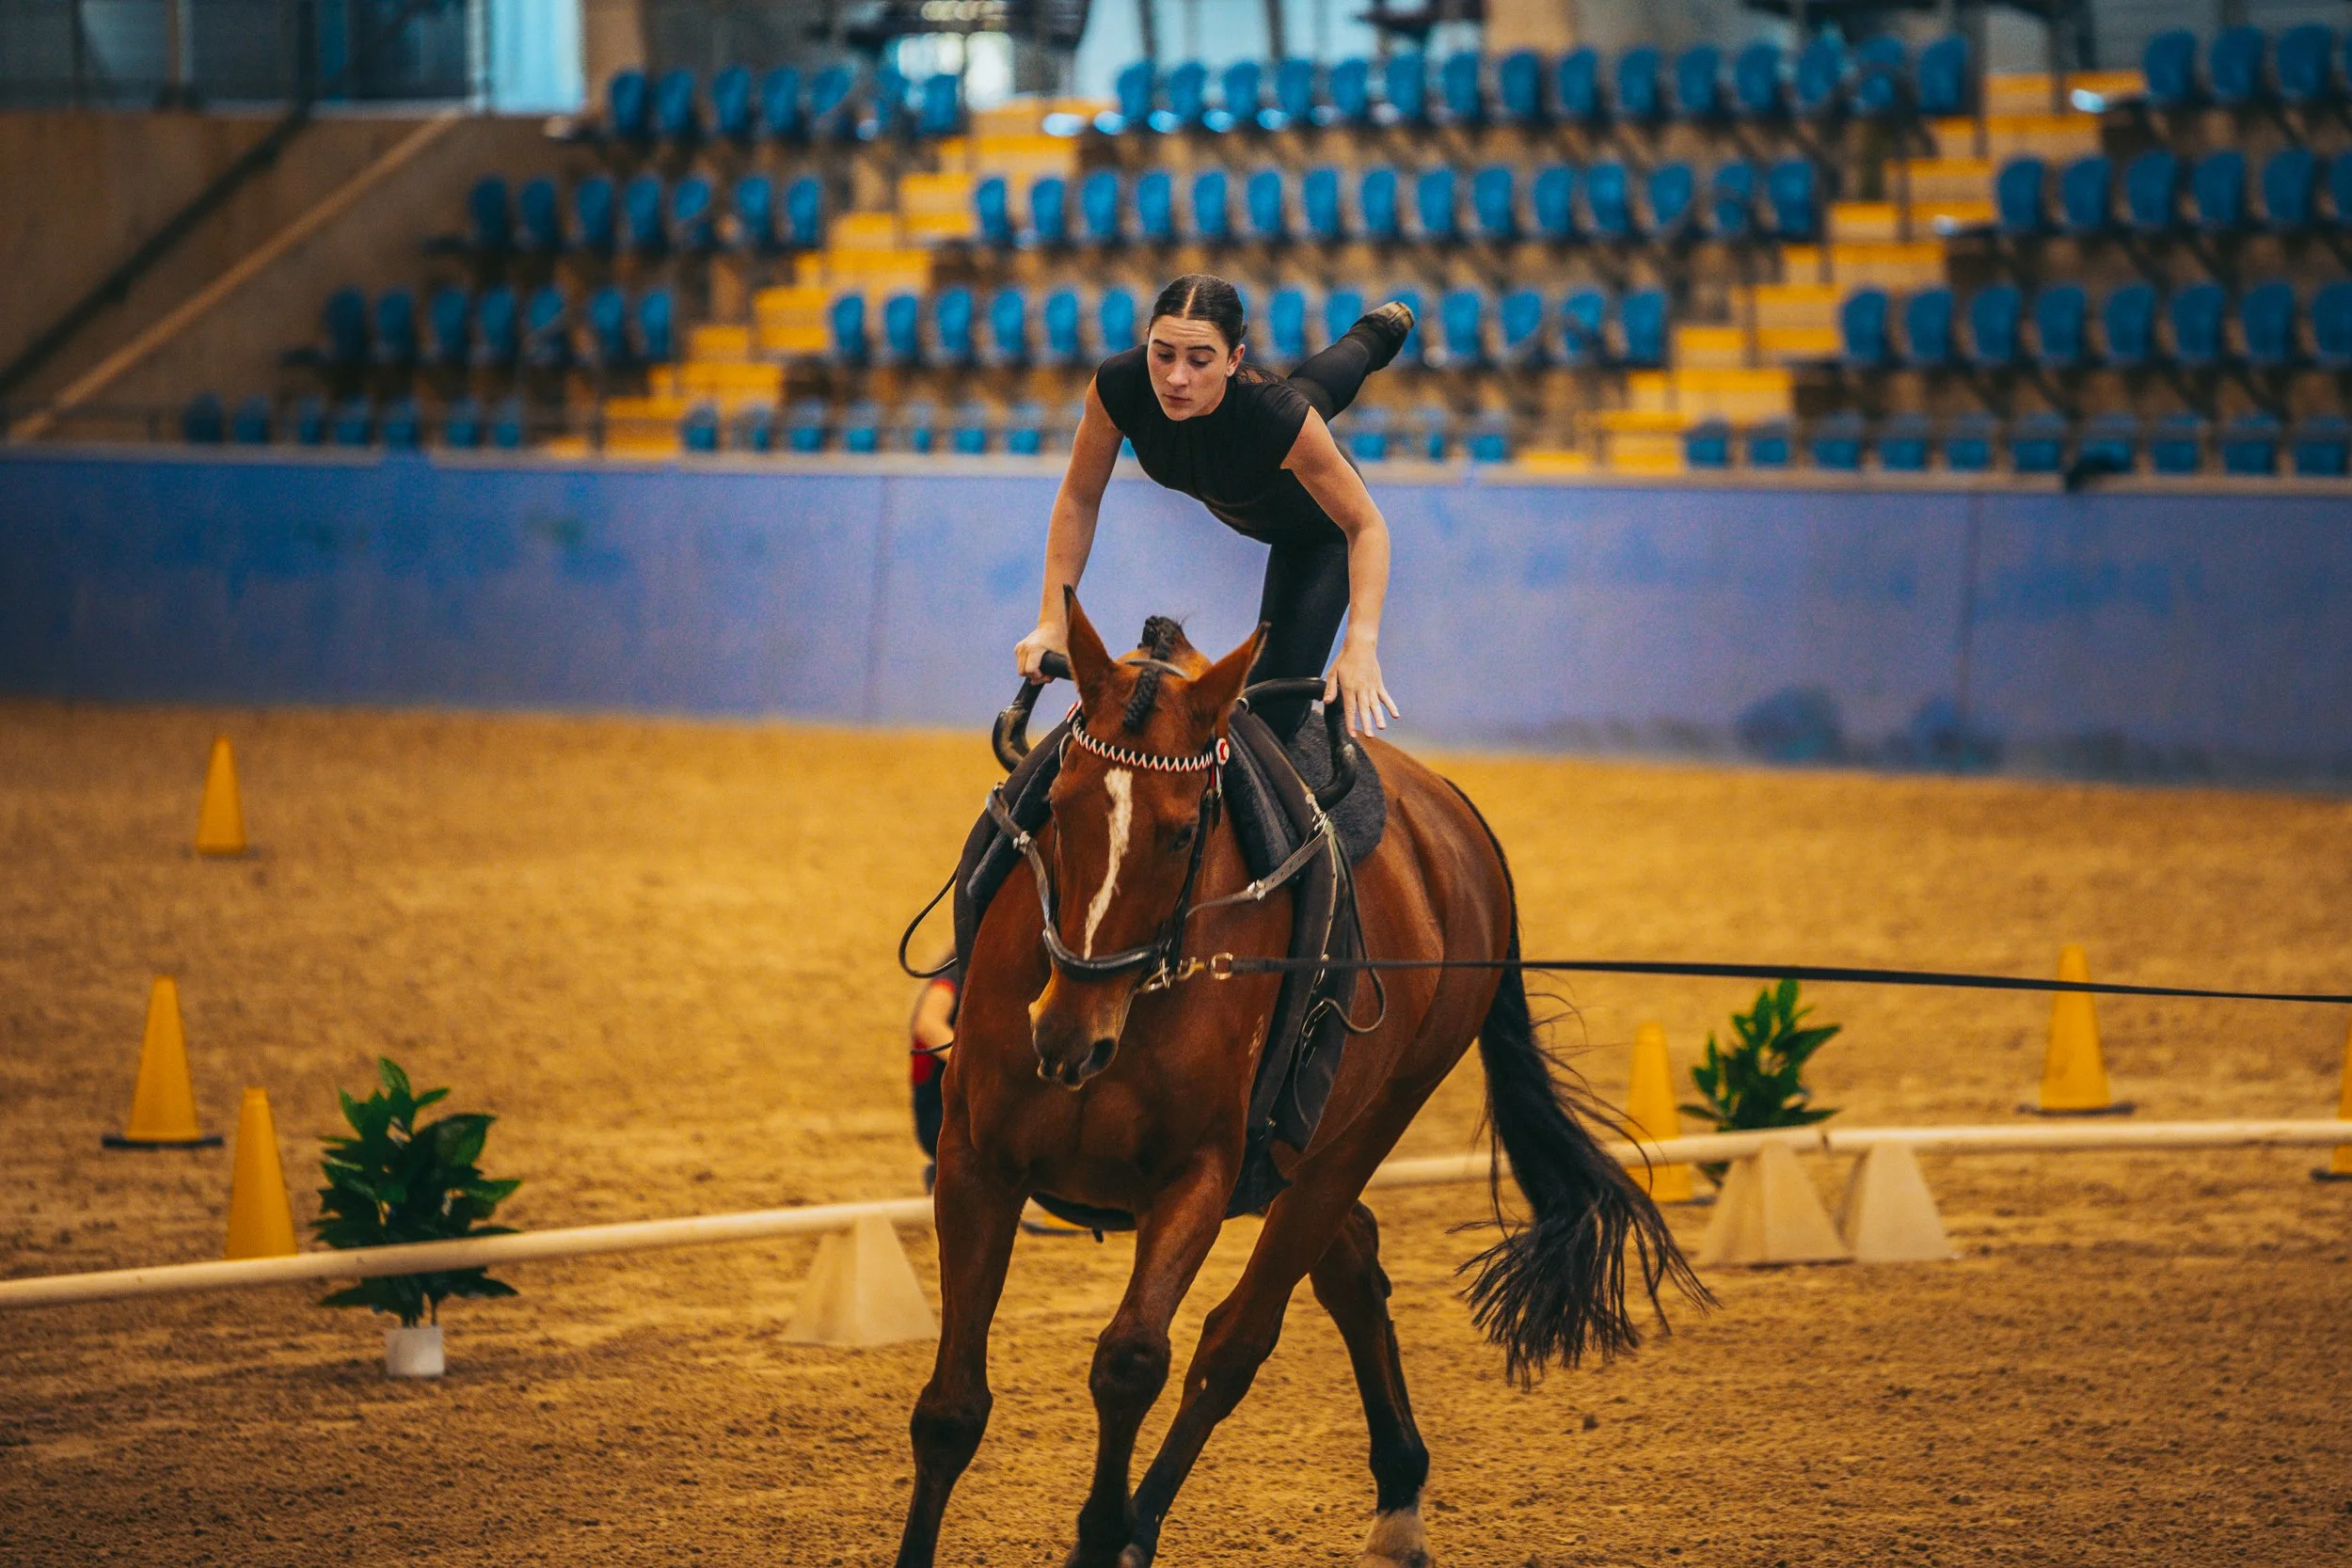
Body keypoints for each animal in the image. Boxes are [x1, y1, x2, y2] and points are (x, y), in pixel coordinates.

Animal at [896, 593, 1703, 1568]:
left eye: (1183, 831)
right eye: (1054, 805)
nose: (1064, 1037)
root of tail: (1455, 810)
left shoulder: (1196, 1178)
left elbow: (1133, 1360)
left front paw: (1104, 1533)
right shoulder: (978, 1161)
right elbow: (950, 1409)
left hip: (1354, 1137)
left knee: (1236, 1342)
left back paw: (1147, 1525)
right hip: (1303, 1154)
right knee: (1350, 1267)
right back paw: (1398, 1492)